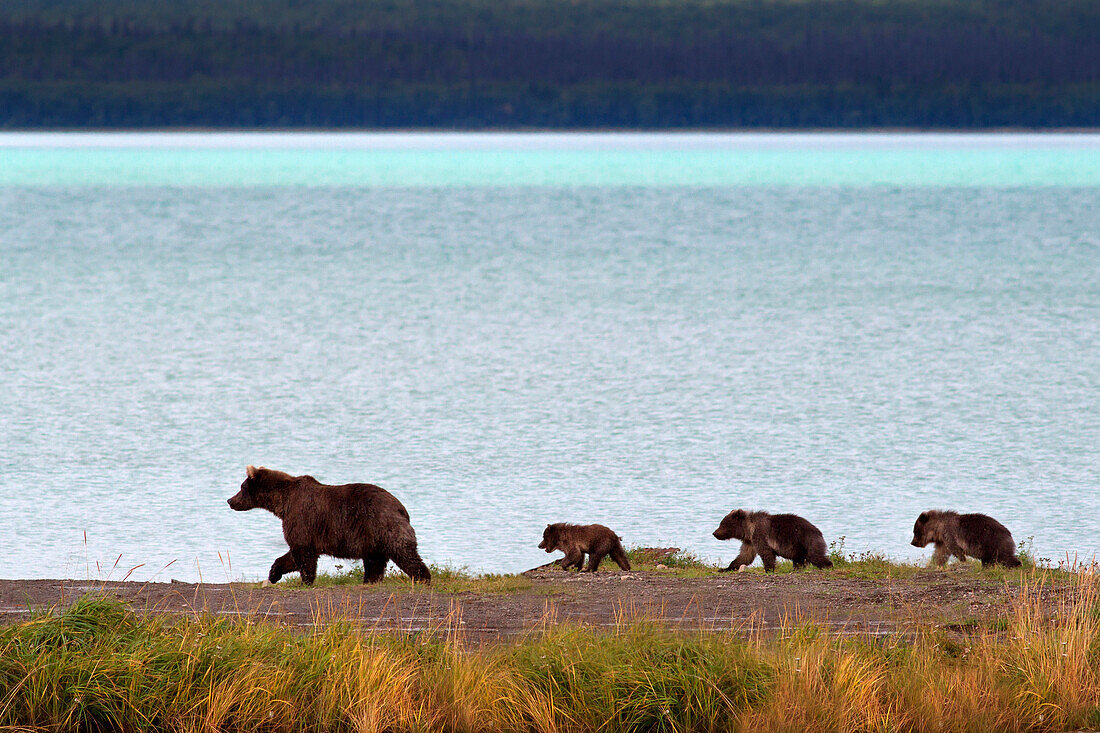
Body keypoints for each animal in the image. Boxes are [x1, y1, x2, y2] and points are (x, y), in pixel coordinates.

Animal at [227, 464, 429, 585]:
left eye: (241, 487)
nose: (230, 501)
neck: (282, 503)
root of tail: (401, 507)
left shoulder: (301, 519)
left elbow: (302, 554)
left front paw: (306, 581)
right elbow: (290, 556)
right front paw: (274, 574)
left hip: (383, 525)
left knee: (404, 554)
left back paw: (422, 577)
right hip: (372, 538)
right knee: (375, 561)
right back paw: (370, 580)